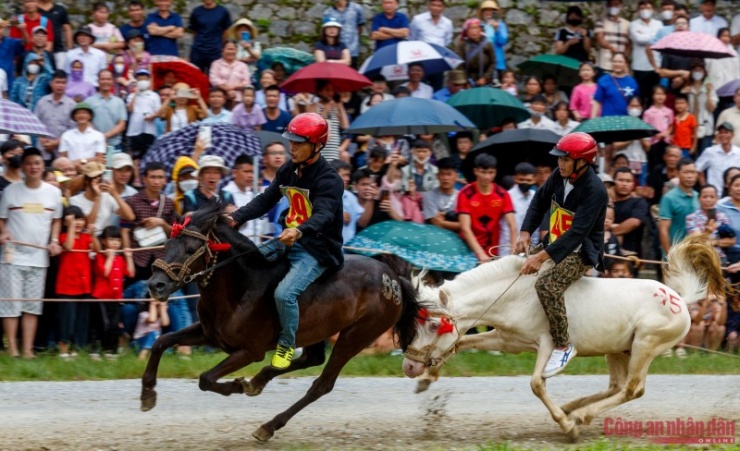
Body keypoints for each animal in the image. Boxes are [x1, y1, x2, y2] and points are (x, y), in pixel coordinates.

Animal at [143, 203, 422, 444]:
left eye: (191, 248)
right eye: (167, 243)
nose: (156, 285)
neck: (242, 286)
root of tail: (393, 279)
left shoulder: (249, 351)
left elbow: (205, 379)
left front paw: (236, 385)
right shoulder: (209, 334)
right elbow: (161, 342)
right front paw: (147, 394)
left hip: (356, 335)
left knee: (321, 384)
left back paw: (268, 425)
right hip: (317, 331)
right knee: (311, 358)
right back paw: (257, 382)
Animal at [402, 237, 724, 442]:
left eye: (434, 324)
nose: (409, 367)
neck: (516, 293)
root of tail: (679, 299)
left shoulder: (548, 344)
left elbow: (536, 383)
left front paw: (567, 426)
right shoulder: (507, 341)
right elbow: (462, 344)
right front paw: (427, 379)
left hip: (645, 345)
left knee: (632, 389)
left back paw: (580, 416)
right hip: (618, 349)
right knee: (616, 386)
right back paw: (574, 407)